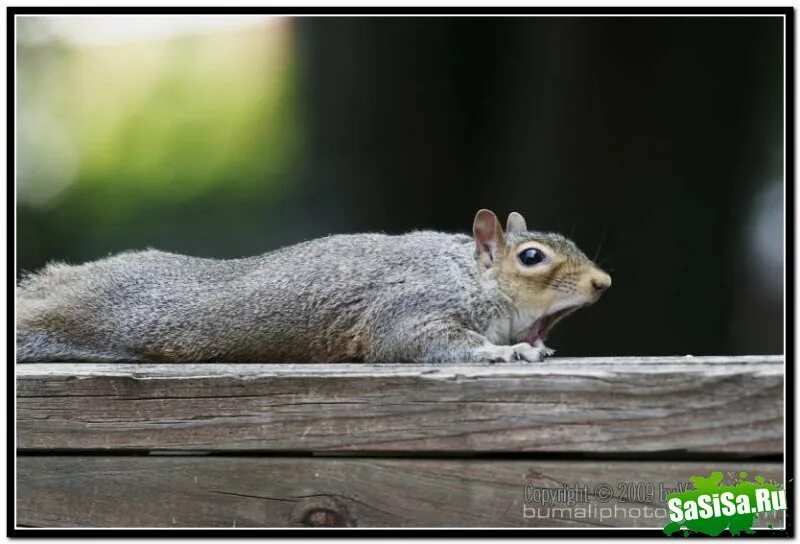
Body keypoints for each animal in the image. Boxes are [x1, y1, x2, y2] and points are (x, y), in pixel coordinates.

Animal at [14, 210, 612, 364]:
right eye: (531, 258)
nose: (602, 282)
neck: (465, 273)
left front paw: (533, 346)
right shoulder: (411, 306)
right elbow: (420, 341)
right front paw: (504, 351)